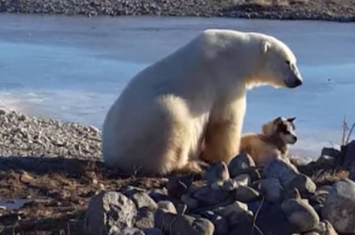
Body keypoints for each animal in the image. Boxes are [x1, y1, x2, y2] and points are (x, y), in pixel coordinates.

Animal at [101, 29, 304, 175]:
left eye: (294, 61)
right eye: (288, 62)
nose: (298, 81)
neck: (235, 55)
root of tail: (112, 155)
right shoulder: (225, 78)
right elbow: (225, 121)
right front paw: (229, 155)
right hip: (151, 121)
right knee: (172, 123)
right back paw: (190, 164)